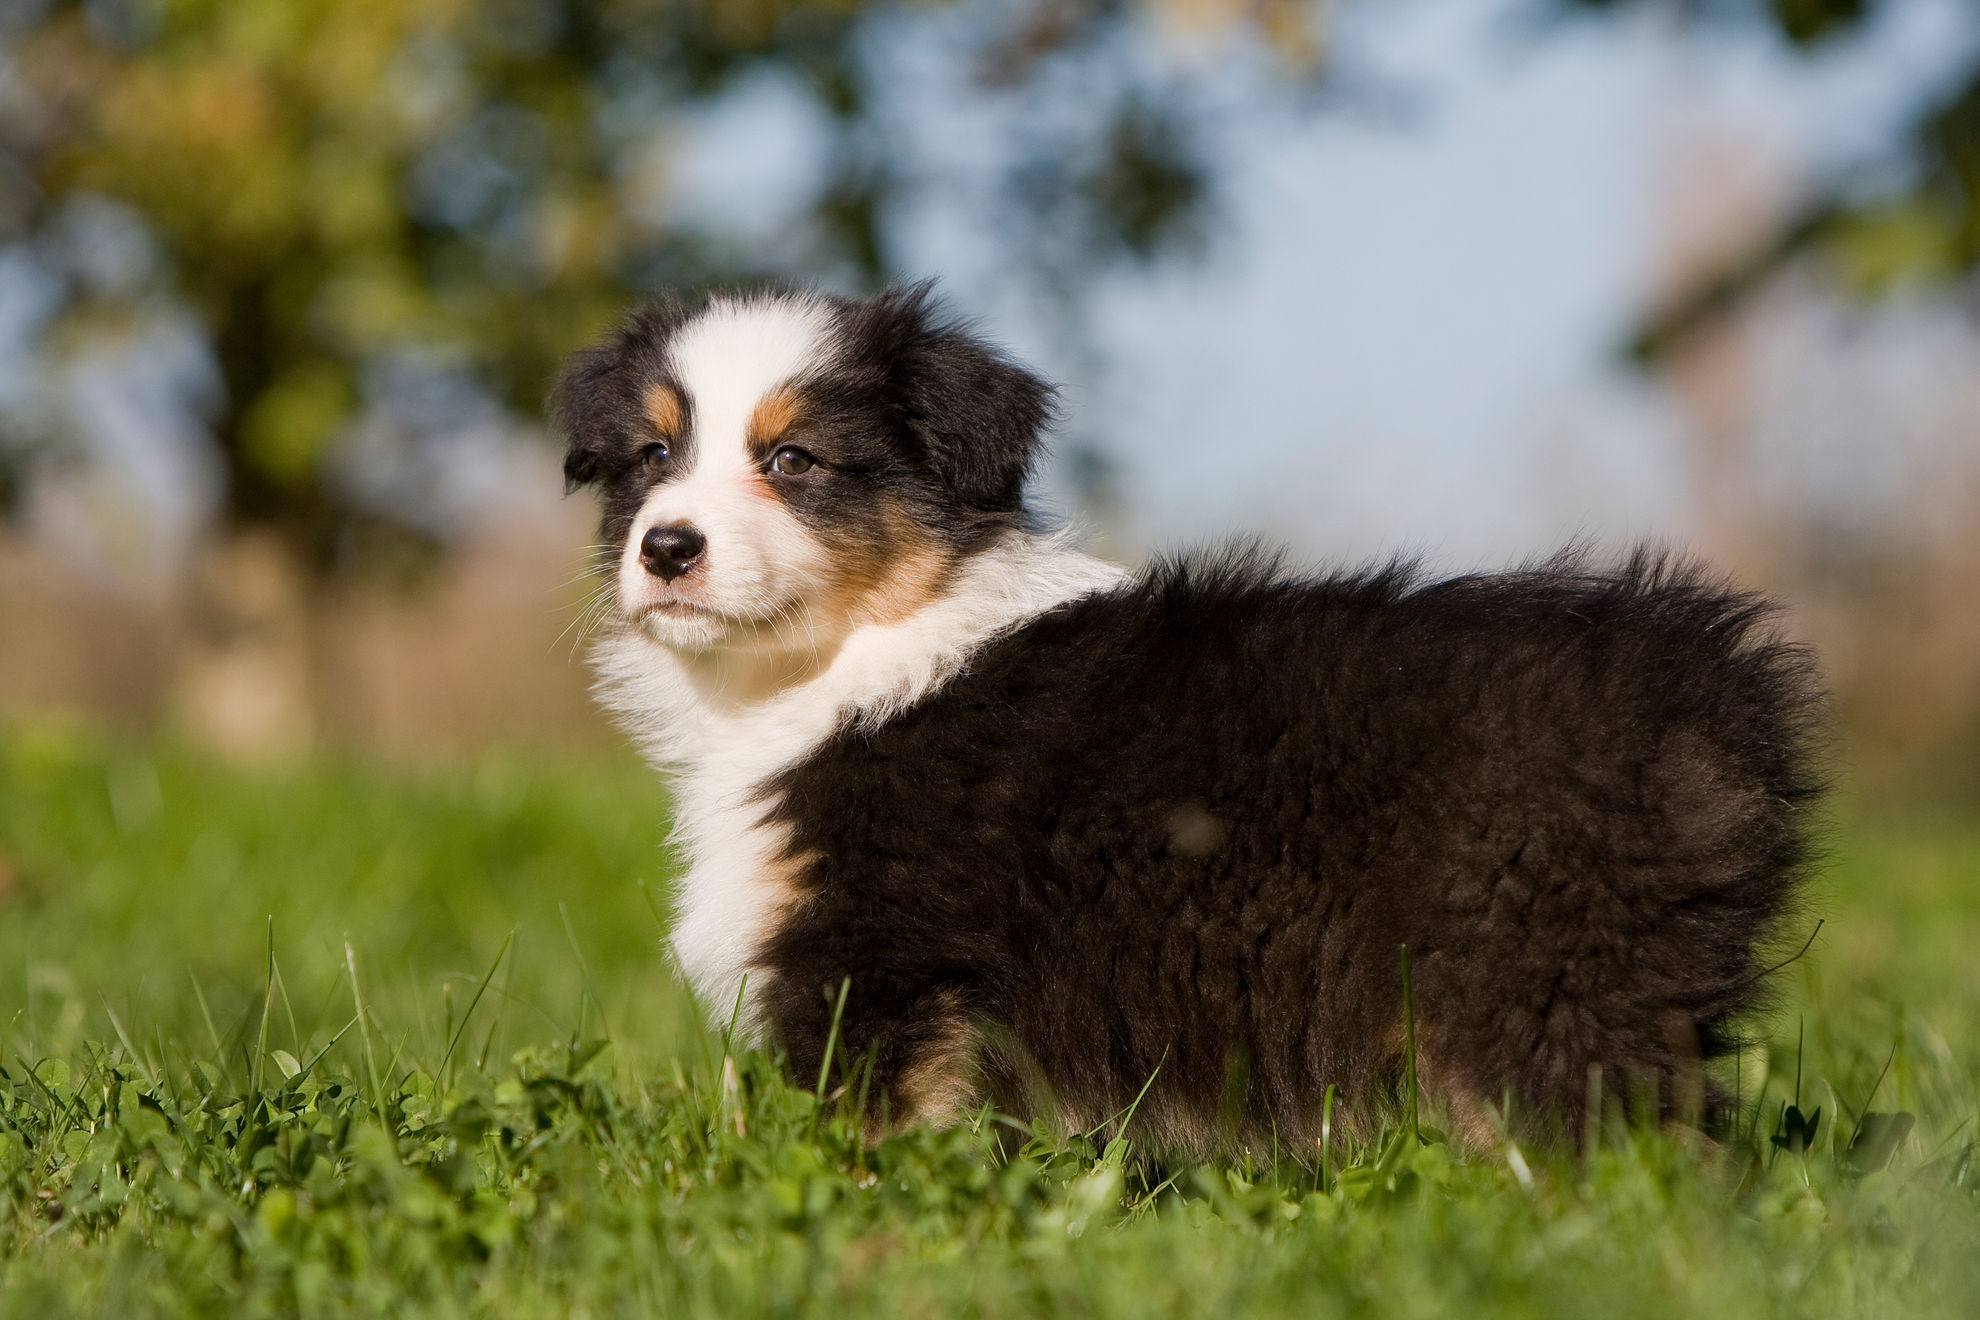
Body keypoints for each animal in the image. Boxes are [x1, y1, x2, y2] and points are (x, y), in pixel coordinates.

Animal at [550, 284, 1813, 1147]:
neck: (838, 662)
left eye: (796, 459)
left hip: (1537, 978)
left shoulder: (879, 964)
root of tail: (1708, 686)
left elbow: (876, 1140)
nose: (667, 547)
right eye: (651, 455)